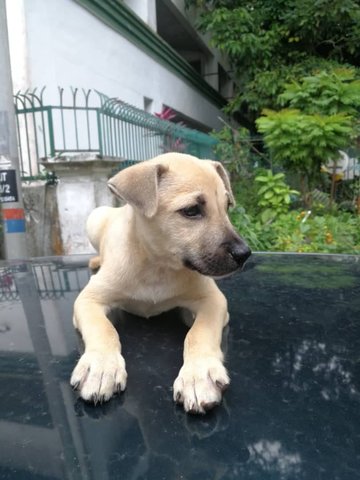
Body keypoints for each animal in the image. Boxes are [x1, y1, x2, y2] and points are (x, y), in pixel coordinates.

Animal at [70, 153, 250, 412]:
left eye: (227, 207)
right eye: (192, 210)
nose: (244, 254)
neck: (157, 266)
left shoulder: (213, 301)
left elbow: (199, 332)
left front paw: (198, 376)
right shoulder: (88, 299)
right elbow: (103, 328)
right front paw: (101, 367)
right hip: (94, 219)